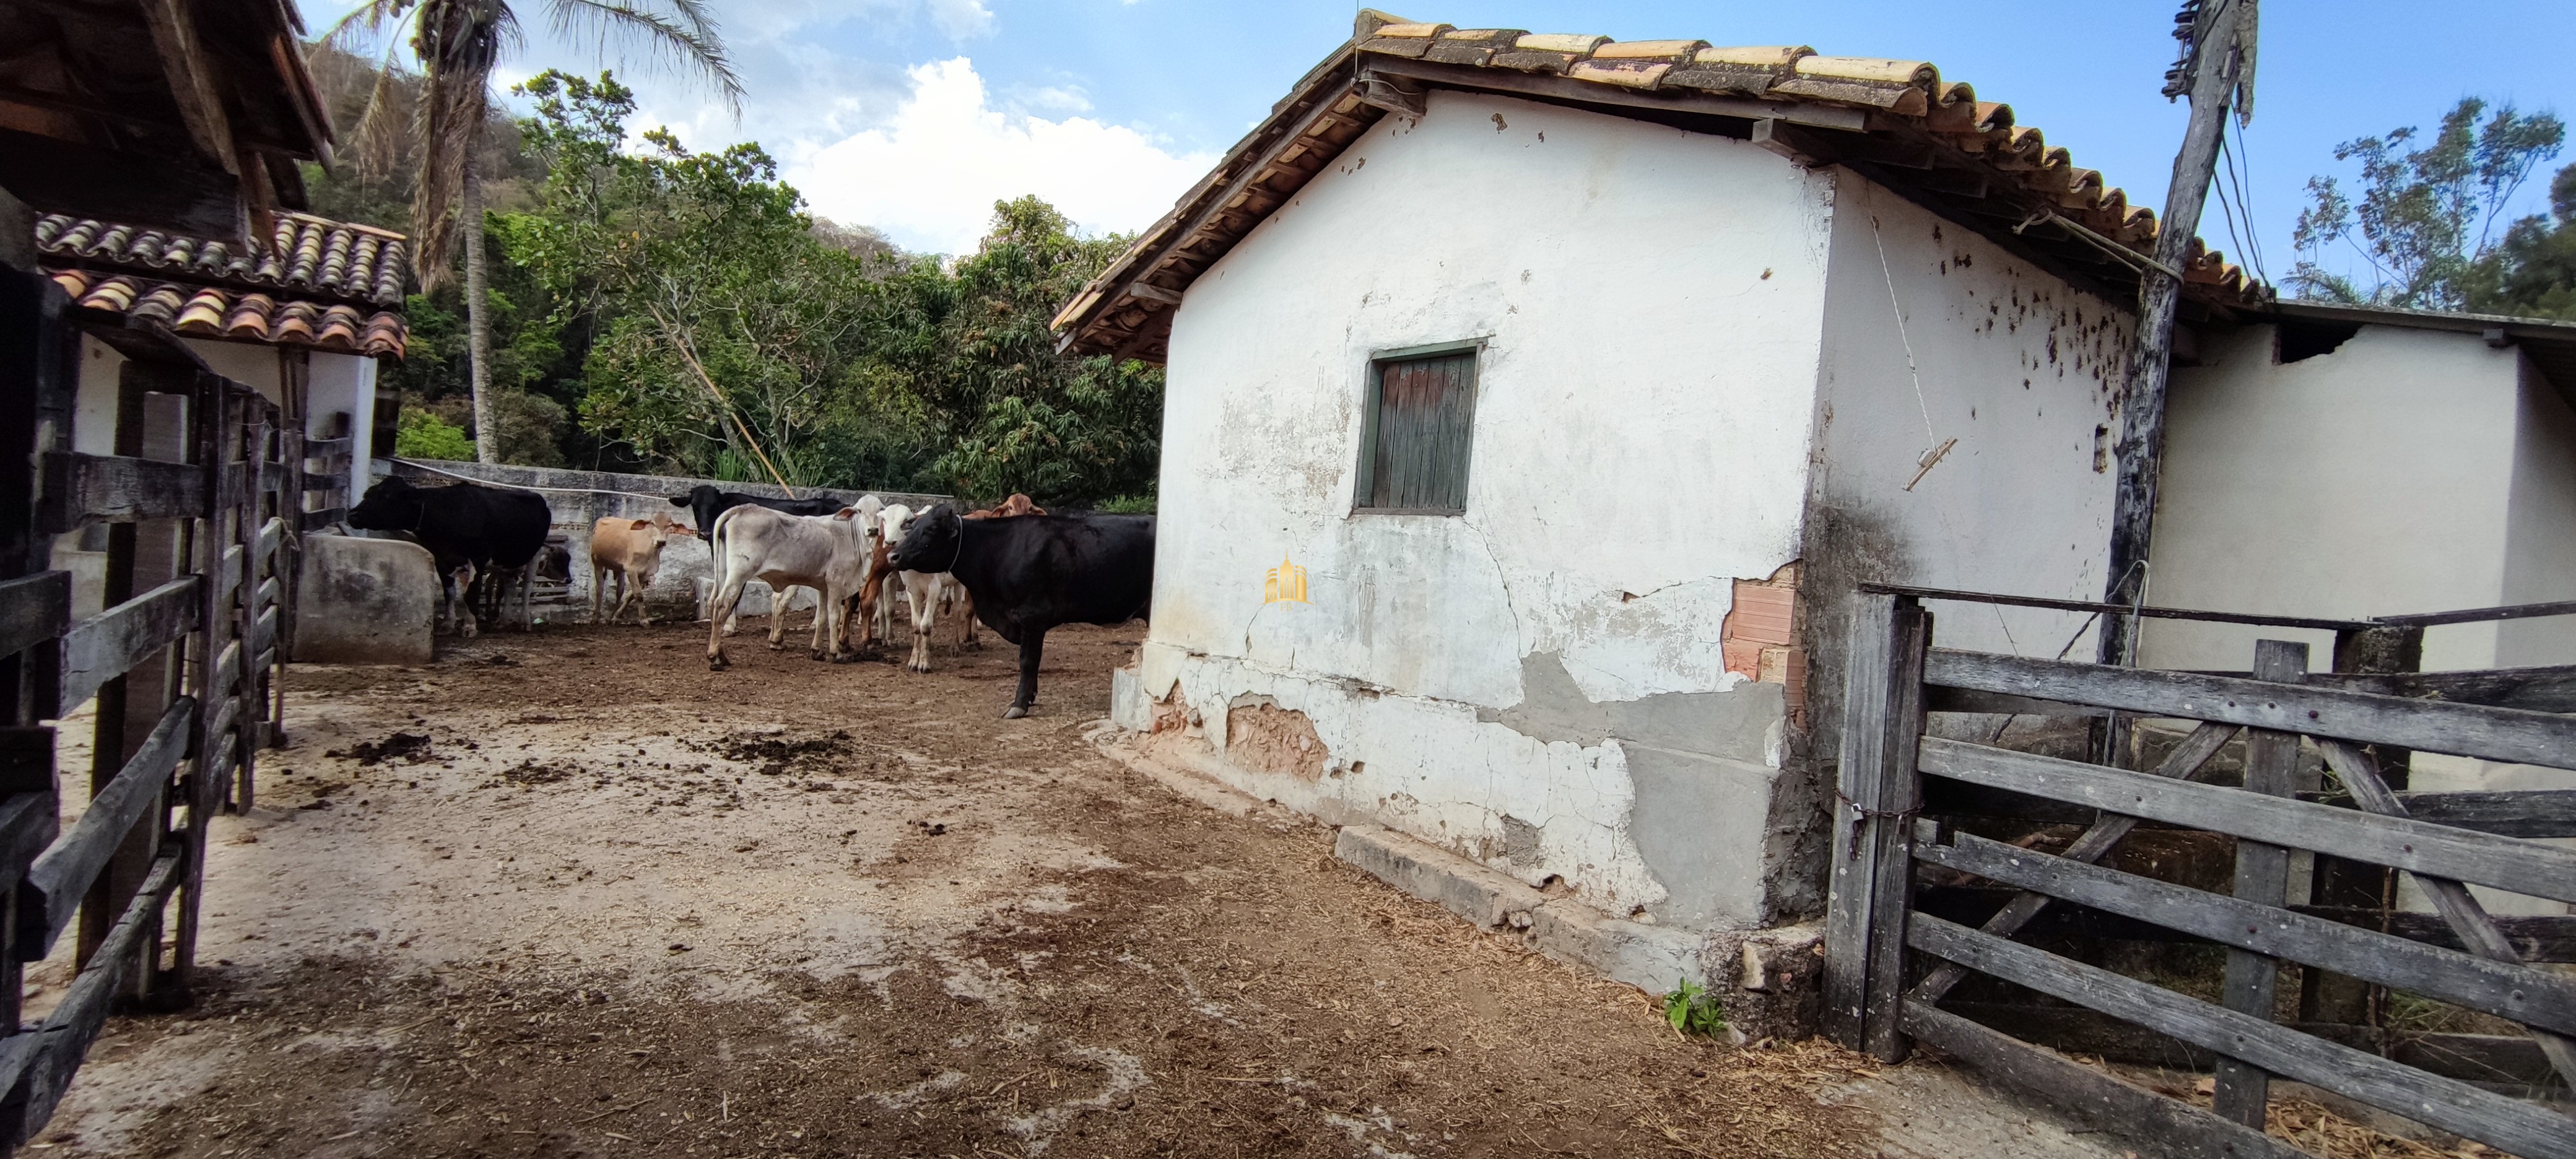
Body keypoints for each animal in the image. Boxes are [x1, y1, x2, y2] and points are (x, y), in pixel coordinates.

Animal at [352, 476, 554, 633]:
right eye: (368, 493)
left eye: (387, 497)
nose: (351, 514)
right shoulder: (442, 559)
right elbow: (450, 593)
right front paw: (449, 623)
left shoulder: (478, 558)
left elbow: (471, 593)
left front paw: (470, 626)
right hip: (507, 561)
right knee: (511, 588)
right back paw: (503, 621)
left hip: (534, 555)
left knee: (526, 589)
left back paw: (525, 623)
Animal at [896, 505, 1159, 716]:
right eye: (914, 527)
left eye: (931, 529)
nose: (894, 555)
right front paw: (1030, 698)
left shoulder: (1033, 617)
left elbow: (1028, 661)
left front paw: (1019, 705)